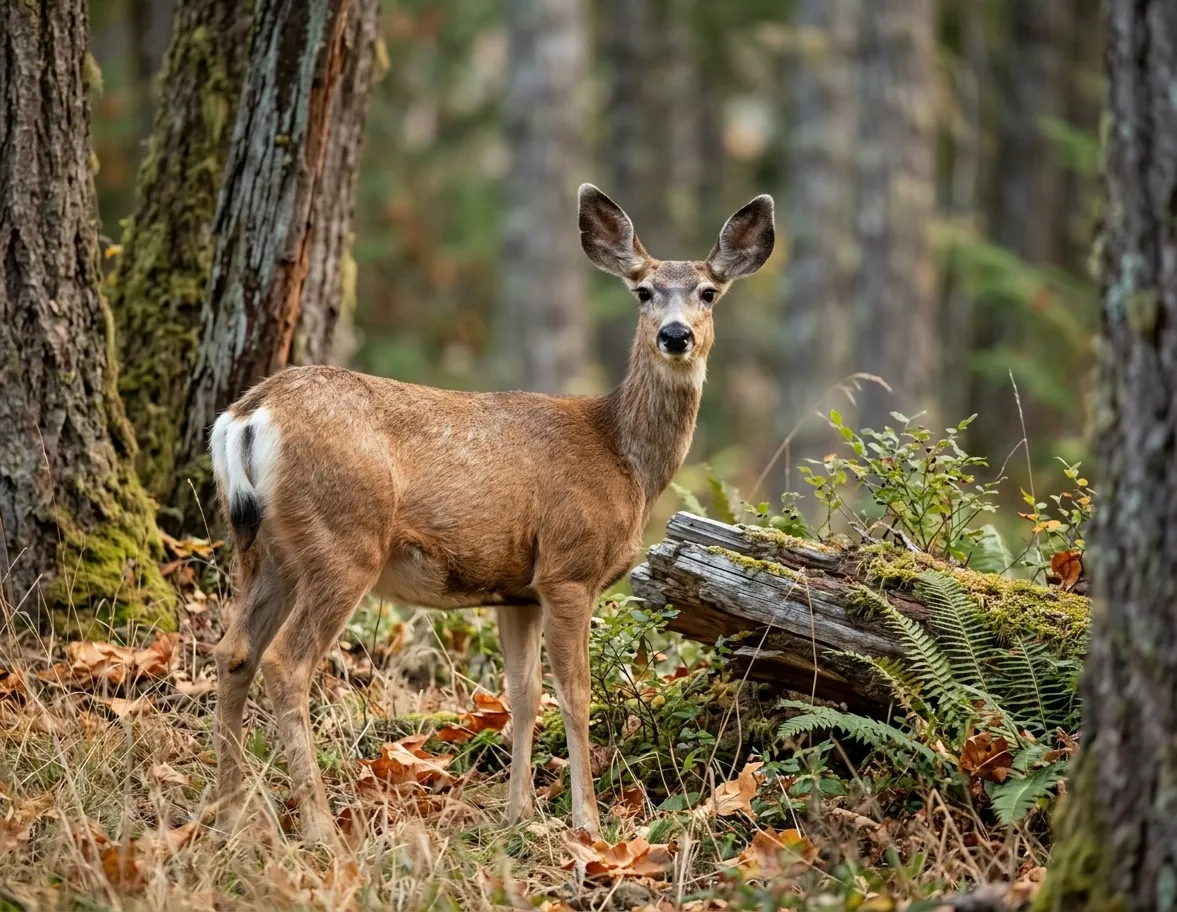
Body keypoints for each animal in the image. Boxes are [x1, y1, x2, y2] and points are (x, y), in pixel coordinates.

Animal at [209, 184, 775, 844]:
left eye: (708, 292)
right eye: (643, 291)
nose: (677, 335)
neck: (622, 458)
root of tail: (248, 414)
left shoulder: (518, 590)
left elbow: (523, 694)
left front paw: (517, 816)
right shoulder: (567, 569)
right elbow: (576, 695)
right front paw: (587, 825)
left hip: (264, 546)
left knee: (234, 651)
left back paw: (230, 815)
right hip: (343, 539)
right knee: (285, 663)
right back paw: (320, 827)